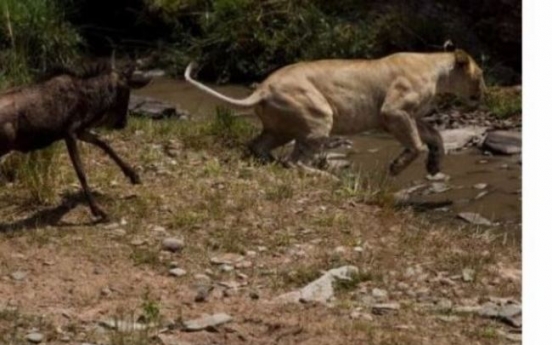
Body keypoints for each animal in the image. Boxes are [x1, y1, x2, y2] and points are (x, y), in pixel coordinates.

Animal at [184, 47, 484, 176]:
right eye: (480, 75)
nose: (484, 92)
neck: (437, 70)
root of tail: (263, 88)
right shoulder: (394, 113)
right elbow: (417, 144)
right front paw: (398, 167)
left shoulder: (410, 116)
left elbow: (435, 136)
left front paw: (434, 165)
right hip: (318, 115)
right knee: (296, 162)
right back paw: (327, 177)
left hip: (281, 128)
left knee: (259, 146)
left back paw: (270, 162)